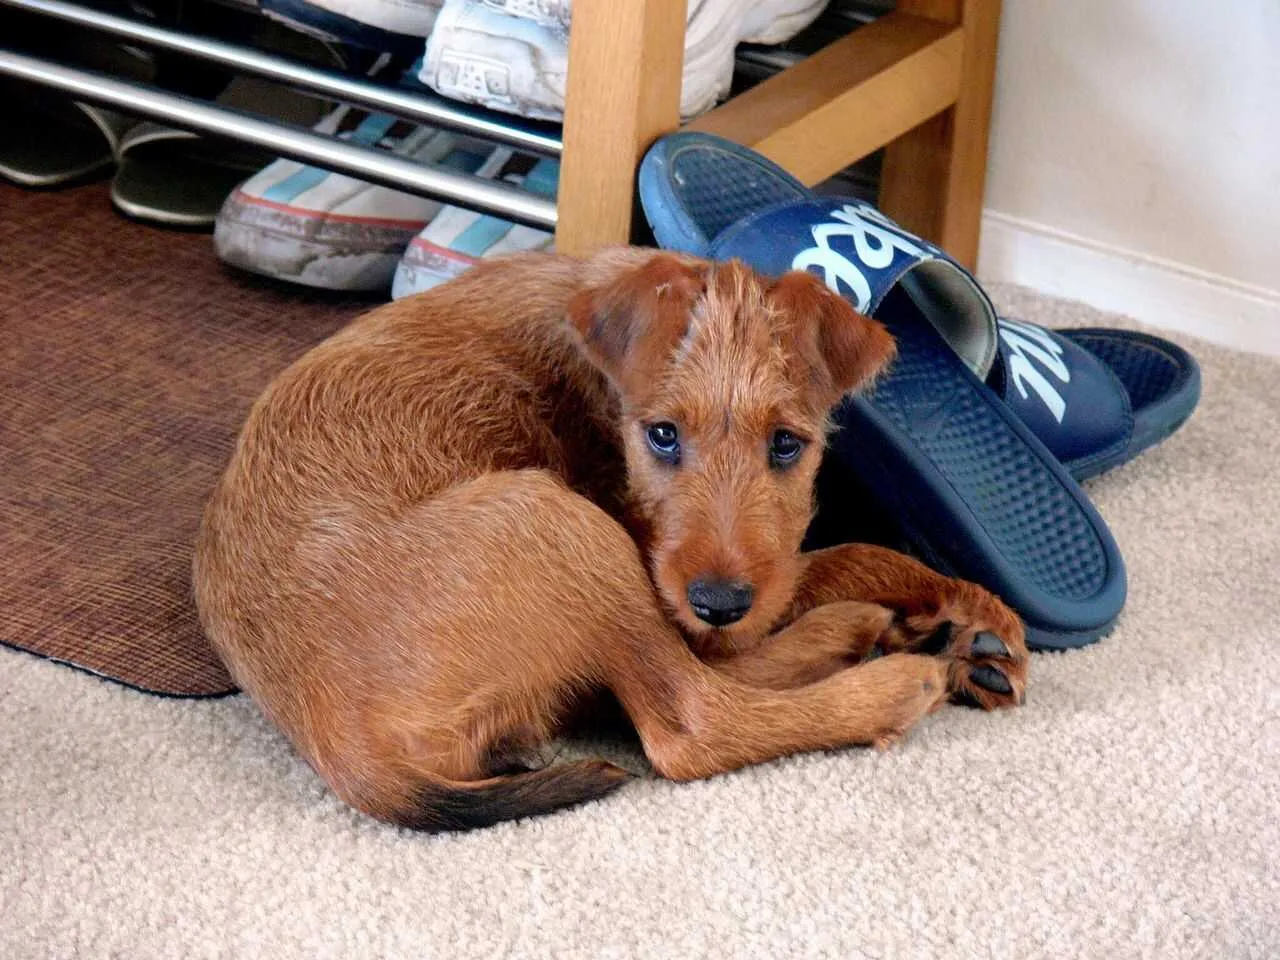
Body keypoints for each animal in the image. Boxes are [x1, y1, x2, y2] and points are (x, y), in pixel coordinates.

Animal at [192, 248, 1029, 834]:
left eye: (788, 445)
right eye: (662, 435)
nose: (718, 601)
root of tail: (345, 748)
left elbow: (822, 562)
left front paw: (974, 609)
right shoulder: (659, 565)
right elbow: (830, 563)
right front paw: (953, 609)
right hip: (560, 526)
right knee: (696, 718)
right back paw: (886, 665)